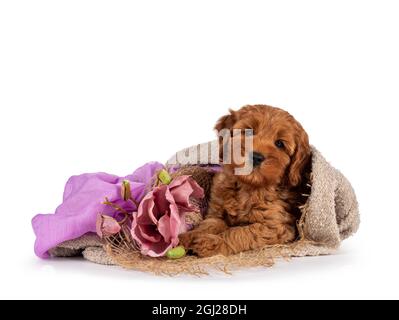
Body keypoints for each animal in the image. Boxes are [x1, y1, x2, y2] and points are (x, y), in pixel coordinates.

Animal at [179, 105, 312, 258]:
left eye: (279, 144)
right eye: (248, 132)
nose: (256, 157)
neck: (248, 186)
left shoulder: (275, 227)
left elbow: (240, 233)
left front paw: (211, 243)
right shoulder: (216, 213)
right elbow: (209, 224)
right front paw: (189, 236)